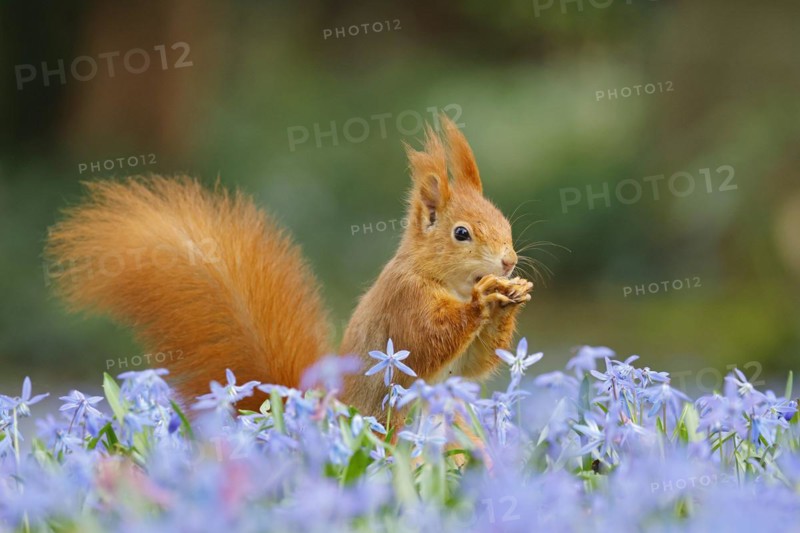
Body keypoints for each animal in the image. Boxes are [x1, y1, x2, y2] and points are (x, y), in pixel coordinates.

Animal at [45, 116, 533, 422]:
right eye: (461, 234)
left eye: (505, 222)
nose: (509, 260)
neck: (443, 280)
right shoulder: (404, 303)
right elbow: (426, 342)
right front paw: (483, 300)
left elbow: (472, 365)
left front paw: (512, 297)